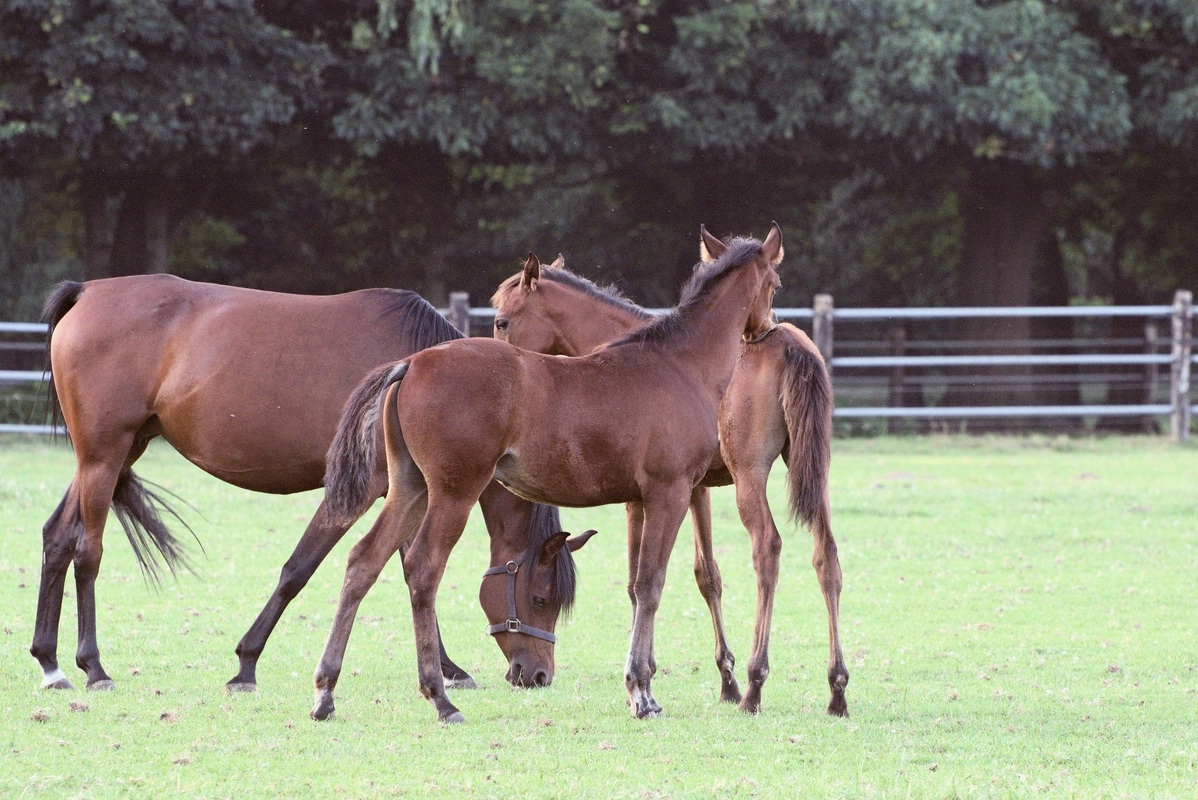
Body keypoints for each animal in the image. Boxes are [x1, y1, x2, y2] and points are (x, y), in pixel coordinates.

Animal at [29, 275, 589, 694]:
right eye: (540, 597)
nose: (536, 674)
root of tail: (88, 291)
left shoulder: (408, 490)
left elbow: (408, 567)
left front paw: (447, 668)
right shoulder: (360, 490)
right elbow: (300, 569)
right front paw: (246, 663)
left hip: (110, 456)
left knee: (58, 538)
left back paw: (50, 663)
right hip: (103, 458)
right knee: (88, 551)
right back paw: (93, 667)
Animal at [318, 221, 785, 723]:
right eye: (775, 284)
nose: (767, 330)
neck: (680, 364)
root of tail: (412, 362)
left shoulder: (641, 499)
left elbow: (639, 586)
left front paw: (641, 686)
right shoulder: (670, 492)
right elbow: (652, 584)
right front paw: (642, 693)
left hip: (410, 488)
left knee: (363, 561)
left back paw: (325, 692)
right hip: (453, 492)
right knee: (423, 568)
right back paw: (439, 697)